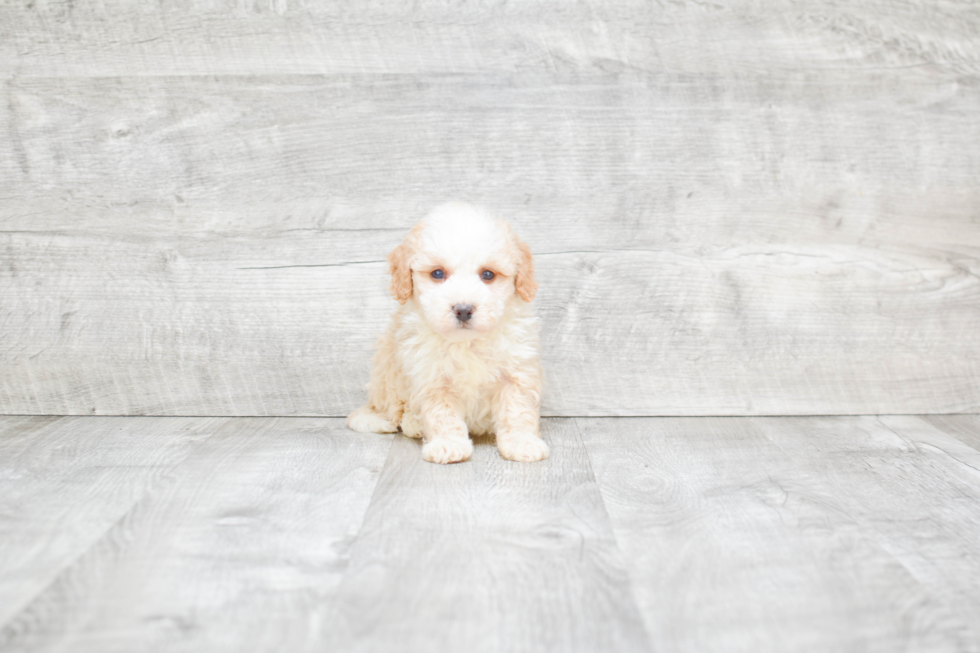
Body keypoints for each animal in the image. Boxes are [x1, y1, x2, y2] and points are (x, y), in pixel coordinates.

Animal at [346, 204, 548, 464]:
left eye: (488, 275)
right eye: (437, 274)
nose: (463, 309)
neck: (467, 343)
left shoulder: (516, 371)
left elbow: (517, 411)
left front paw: (522, 443)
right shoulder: (432, 376)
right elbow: (442, 414)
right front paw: (448, 444)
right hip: (388, 369)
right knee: (395, 411)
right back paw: (412, 423)